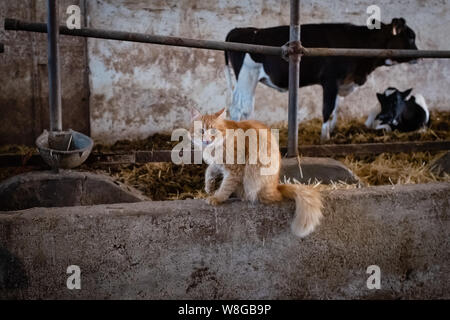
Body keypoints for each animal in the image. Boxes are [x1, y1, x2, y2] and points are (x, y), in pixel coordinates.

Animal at [191, 107, 324, 238]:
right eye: (201, 131)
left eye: (213, 131)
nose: (207, 140)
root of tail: (276, 187)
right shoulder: (217, 164)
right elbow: (209, 171)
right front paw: (209, 187)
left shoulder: (235, 170)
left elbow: (225, 187)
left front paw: (217, 198)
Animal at [224, 18, 418, 141]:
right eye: (410, 37)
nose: (418, 55)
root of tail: (239, 30)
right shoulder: (330, 80)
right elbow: (328, 108)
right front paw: (325, 137)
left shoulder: (341, 83)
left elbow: (336, 108)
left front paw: (331, 130)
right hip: (247, 75)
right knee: (238, 108)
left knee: (244, 108)